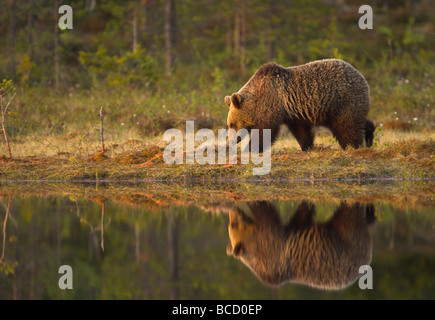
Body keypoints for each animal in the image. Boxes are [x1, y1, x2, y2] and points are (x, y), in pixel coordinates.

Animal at [227, 58, 376, 151]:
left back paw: (352, 146)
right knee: (357, 121)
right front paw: (307, 146)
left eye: (232, 124)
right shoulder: (292, 113)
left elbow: (265, 131)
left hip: (341, 100)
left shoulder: (271, 103)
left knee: (346, 125)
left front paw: (249, 149)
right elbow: (301, 131)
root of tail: (362, 77)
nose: (230, 141)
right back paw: (369, 135)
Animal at [228, 201, 374, 288]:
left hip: (348, 242)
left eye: (232, 224)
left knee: (350, 214)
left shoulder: (270, 248)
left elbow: (266, 215)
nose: (233, 212)